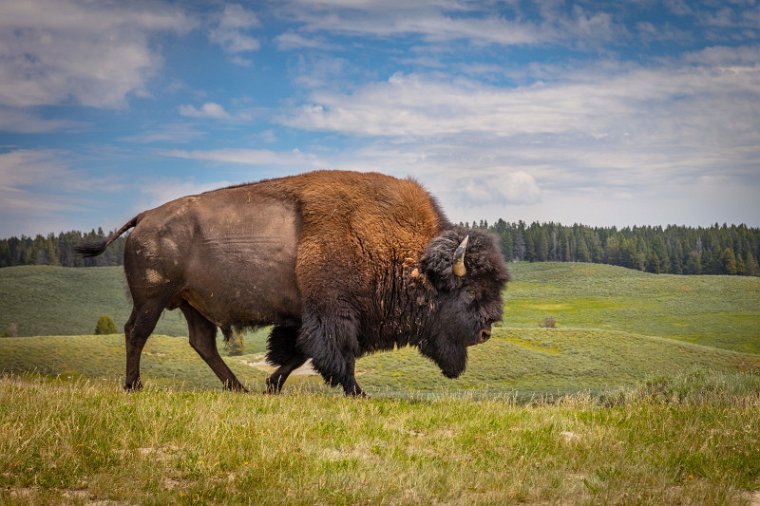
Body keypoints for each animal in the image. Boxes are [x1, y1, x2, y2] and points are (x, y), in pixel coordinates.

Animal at [75, 170, 510, 396]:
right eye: (471, 292)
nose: (487, 330)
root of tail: (144, 217)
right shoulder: (334, 314)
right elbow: (334, 355)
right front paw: (358, 392)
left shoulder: (307, 316)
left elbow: (299, 352)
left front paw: (271, 385)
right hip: (152, 298)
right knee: (136, 332)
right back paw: (134, 386)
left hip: (191, 304)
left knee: (202, 343)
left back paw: (239, 389)